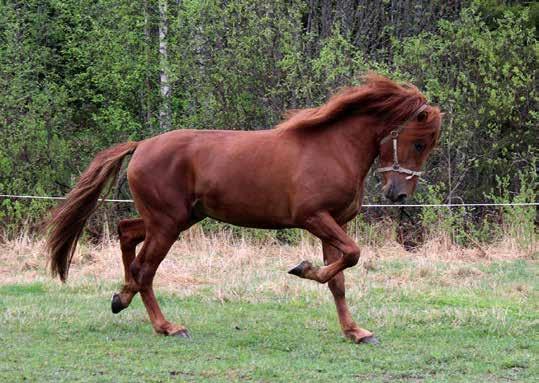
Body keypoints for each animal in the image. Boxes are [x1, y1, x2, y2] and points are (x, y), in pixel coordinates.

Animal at [45, 74, 442, 344]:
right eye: (419, 143)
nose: (398, 194)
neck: (332, 147)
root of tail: (141, 146)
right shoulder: (315, 218)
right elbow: (351, 257)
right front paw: (302, 268)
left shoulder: (335, 224)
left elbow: (339, 278)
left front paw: (355, 331)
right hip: (168, 224)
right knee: (144, 268)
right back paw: (165, 325)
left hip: (175, 219)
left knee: (127, 233)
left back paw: (121, 297)